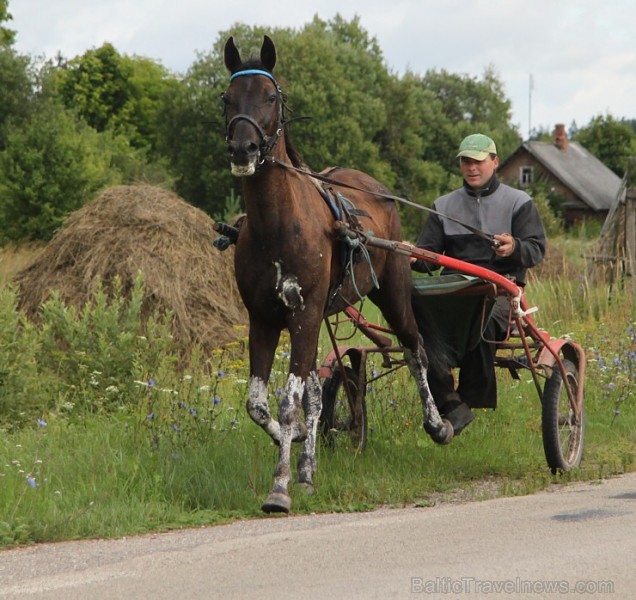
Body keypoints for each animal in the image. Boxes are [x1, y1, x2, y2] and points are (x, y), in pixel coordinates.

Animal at [222, 35, 452, 512]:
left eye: (270, 97)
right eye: (226, 98)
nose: (242, 149)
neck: (278, 224)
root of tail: (374, 186)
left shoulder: (305, 312)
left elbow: (289, 400)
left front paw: (280, 486)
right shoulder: (264, 318)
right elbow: (261, 404)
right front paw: (296, 452)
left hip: (392, 290)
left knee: (415, 349)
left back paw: (437, 425)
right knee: (314, 388)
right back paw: (308, 466)